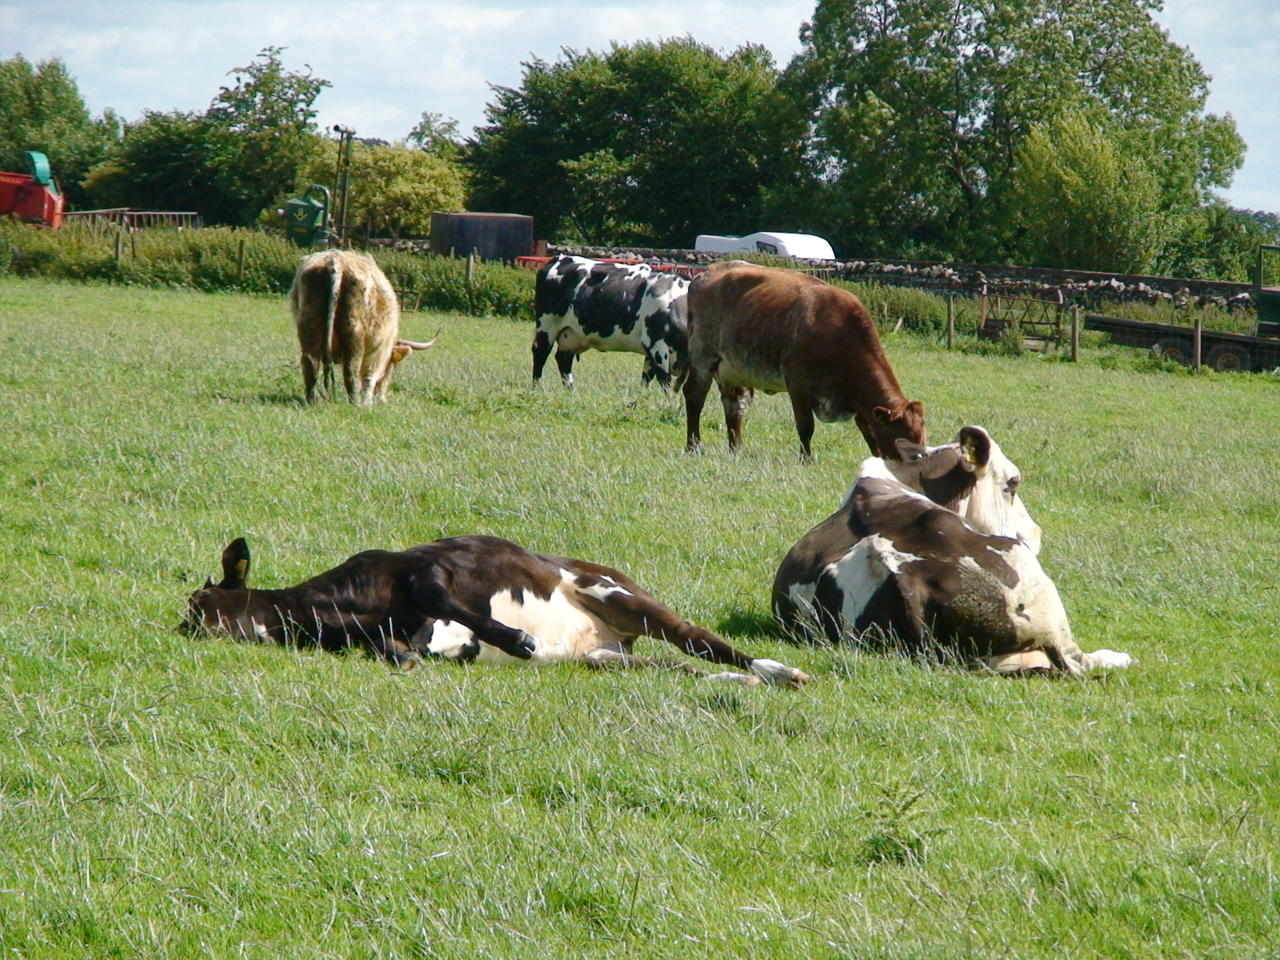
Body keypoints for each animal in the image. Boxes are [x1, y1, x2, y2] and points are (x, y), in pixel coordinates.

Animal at [289, 249, 438, 405]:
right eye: (391, 366)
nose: (382, 398)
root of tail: (337, 261)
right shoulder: (378, 353)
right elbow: (370, 376)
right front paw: (367, 402)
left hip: (309, 326)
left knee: (310, 362)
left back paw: (312, 400)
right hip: (355, 332)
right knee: (352, 368)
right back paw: (356, 402)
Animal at [532, 255, 690, 389]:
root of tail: (560, 258)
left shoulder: (652, 352)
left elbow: (646, 378)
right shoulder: (656, 345)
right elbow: (664, 380)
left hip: (571, 334)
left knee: (563, 359)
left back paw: (570, 390)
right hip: (547, 325)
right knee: (540, 353)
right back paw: (538, 388)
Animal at [683, 260, 926, 459]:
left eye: (922, 436)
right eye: (905, 439)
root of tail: (706, 272)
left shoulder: (859, 402)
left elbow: (869, 432)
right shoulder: (798, 382)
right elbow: (806, 426)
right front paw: (806, 459)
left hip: (733, 369)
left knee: (734, 406)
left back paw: (736, 450)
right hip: (702, 355)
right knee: (695, 396)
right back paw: (693, 447)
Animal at [771, 426, 1133, 675]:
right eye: (1012, 483)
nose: (1035, 534)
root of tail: (904, 573)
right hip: (1038, 591)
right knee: (1080, 661)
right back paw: (1117, 656)